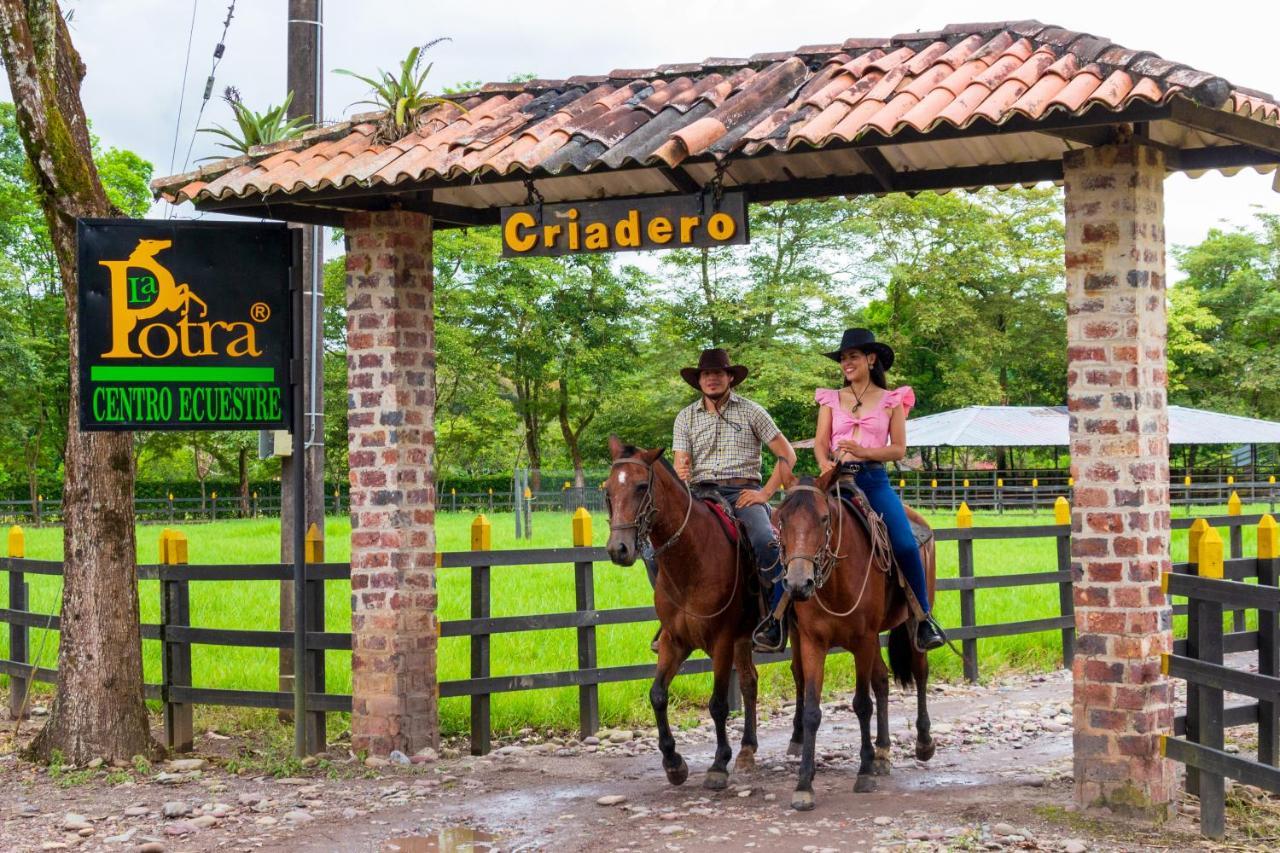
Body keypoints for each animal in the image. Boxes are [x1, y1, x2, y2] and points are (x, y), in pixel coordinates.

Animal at [601, 435, 752, 788]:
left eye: (642, 486)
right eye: (608, 489)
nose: (619, 549)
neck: (692, 559)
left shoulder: (722, 642)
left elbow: (718, 704)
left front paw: (718, 764)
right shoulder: (675, 640)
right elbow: (657, 694)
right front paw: (673, 762)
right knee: (750, 684)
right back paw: (749, 751)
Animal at [773, 468, 936, 809]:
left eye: (823, 518)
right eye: (781, 519)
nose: (798, 583)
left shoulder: (862, 640)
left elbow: (862, 704)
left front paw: (863, 773)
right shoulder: (812, 642)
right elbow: (812, 710)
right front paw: (804, 783)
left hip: (913, 621)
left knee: (920, 672)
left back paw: (924, 743)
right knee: (883, 681)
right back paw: (883, 752)